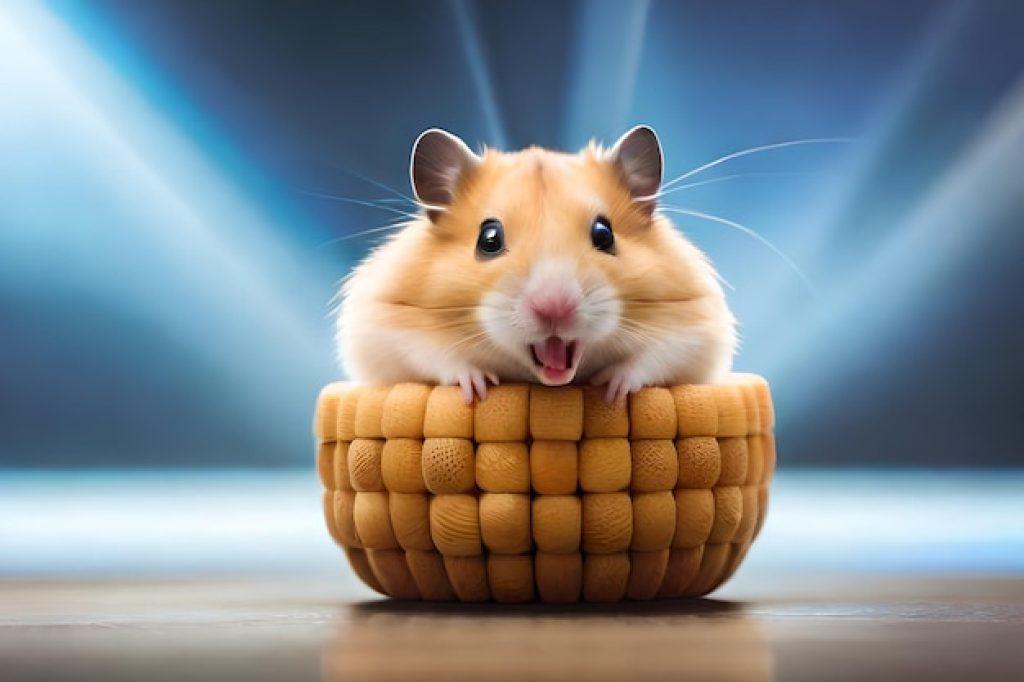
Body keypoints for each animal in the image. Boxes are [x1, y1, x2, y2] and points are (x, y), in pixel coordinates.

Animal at [337, 125, 736, 404]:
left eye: (604, 234)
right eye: (489, 239)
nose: (554, 309)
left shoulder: (696, 327)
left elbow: (657, 356)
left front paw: (611, 388)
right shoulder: (384, 325)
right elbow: (432, 353)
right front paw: (477, 386)